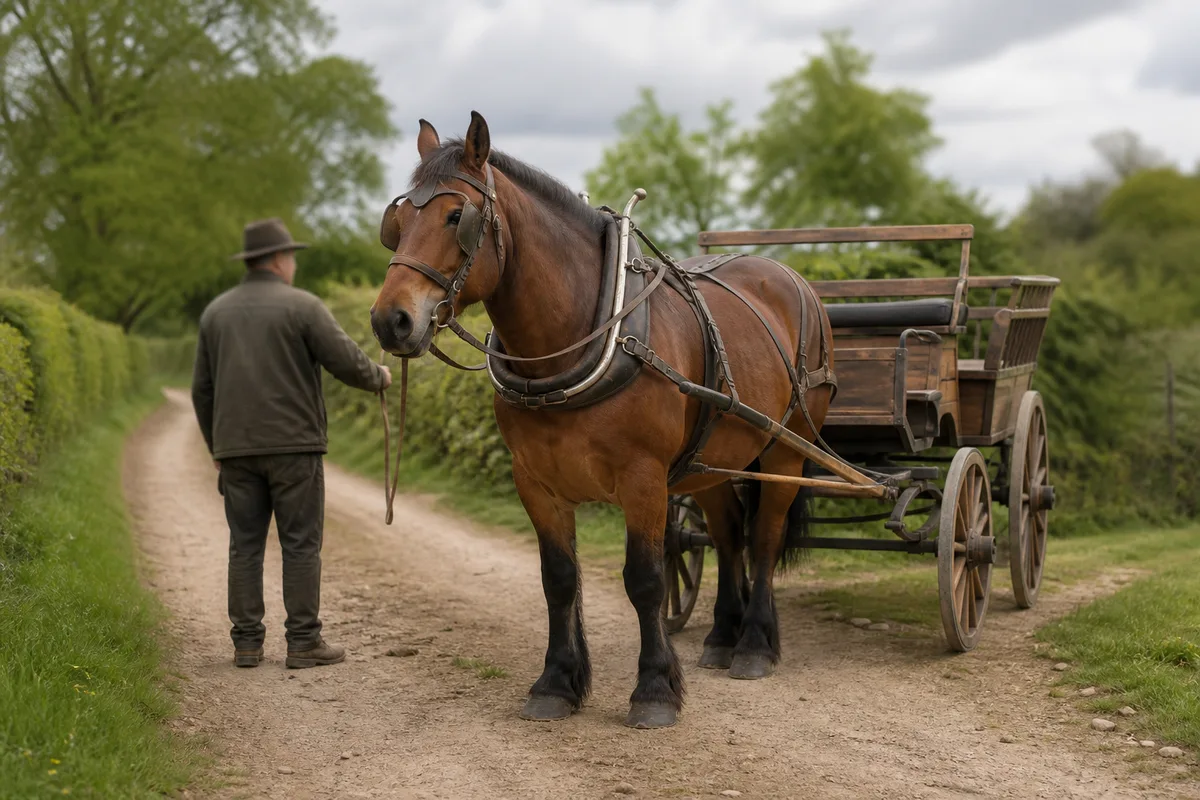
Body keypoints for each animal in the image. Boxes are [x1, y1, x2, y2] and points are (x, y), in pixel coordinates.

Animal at [369, 112, 835, 729]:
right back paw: (722, 636)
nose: (390, 321)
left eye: (454, 217)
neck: (580, 338)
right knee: (728, 534)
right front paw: (557, 682)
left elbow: (646, 580)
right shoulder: (536, 481)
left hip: (787, 447)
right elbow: (559, 579)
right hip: (711, 460)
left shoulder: (644, 479)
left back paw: (755, 644)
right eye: (397, 223)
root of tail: (794, 280)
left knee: (762, 537)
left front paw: (655, 689)